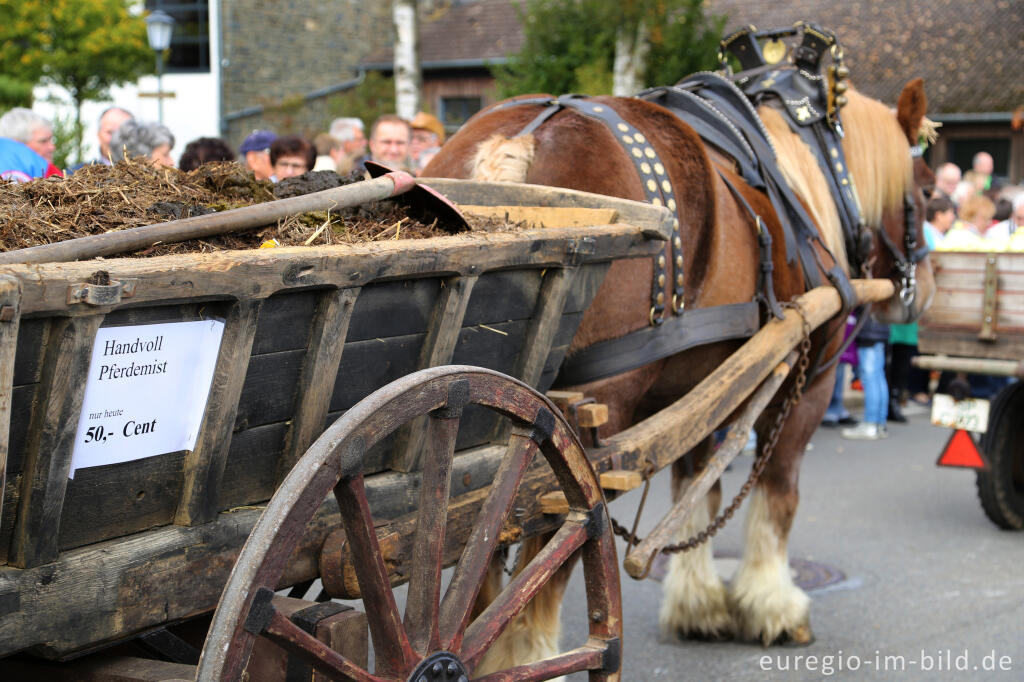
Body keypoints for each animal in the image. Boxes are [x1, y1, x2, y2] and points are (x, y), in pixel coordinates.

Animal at [421, 76, 937, 667]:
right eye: (929, 191)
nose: (925, 289)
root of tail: (517, 140)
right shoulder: (807, 384)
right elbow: (779, 493)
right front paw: (774, 605)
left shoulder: (698, 391)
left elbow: (696, 486)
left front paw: (699, 604)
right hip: (582, 421)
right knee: (548, 549)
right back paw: (526, 657)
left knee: (480, 546)